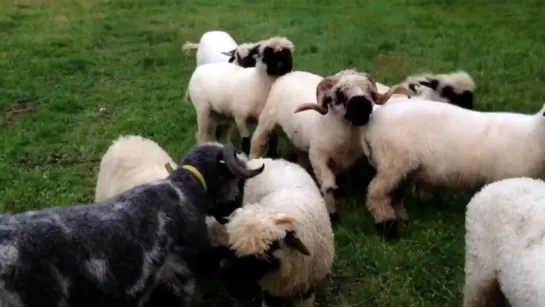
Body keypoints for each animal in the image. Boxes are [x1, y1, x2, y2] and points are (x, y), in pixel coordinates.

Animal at [249, 68, 410, 220]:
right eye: (340, 94)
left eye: (369, 91)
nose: (363, 109)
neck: (344, 134)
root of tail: (291, 74)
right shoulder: (317, 156)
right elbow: (328, 185)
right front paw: (332, 214)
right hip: (267, 120)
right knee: (257, 144)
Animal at [356, 97, 545, 239]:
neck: (533, 136)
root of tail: (374, 115)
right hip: (392, 162)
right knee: (376, 195)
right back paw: (387, 226)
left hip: (403, 167)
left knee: (394, 194)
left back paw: (401, 219)